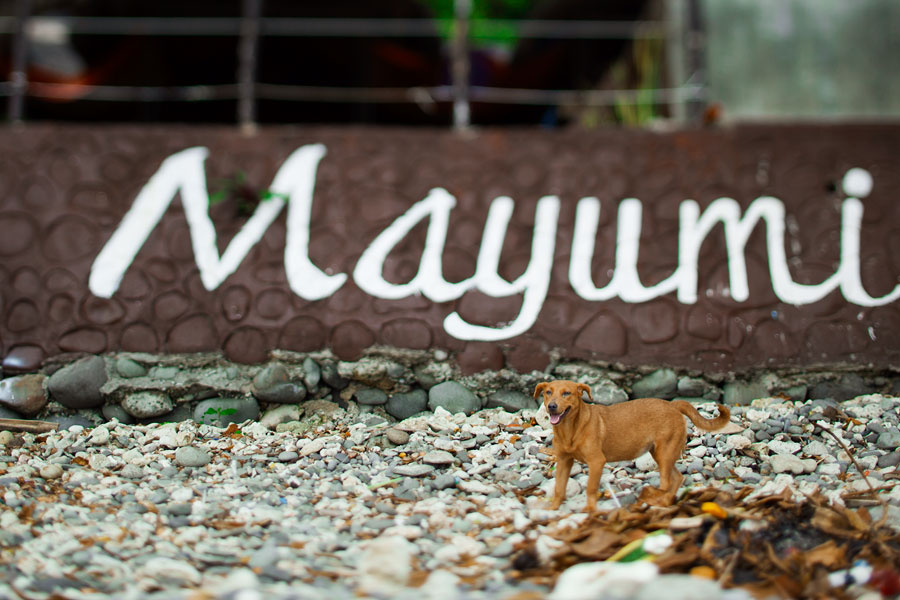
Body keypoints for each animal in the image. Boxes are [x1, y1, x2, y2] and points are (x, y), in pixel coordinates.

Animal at [536, 380, 732, 510]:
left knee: (667, 482)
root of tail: (673, 404)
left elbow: (591, 489)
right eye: (548, 392)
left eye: (566, 393)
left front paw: (590, 512)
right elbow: (559, 488)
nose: (552, 406)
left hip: (664, 453)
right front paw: (553, 510)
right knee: (677, 478)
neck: (570, 430)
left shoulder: (596, 462)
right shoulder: (564, 461)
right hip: (661, 454)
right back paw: (664, 502)